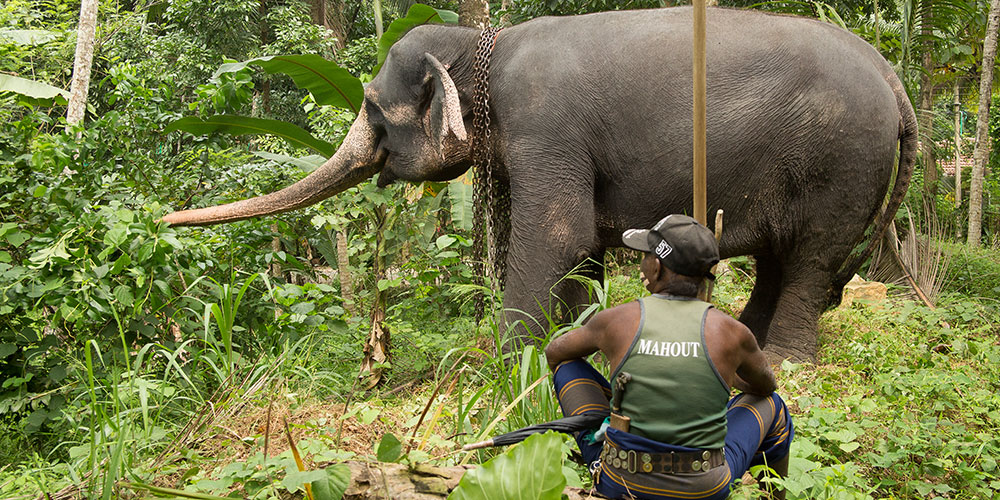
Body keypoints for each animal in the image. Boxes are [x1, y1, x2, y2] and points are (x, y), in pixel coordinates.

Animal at [161, 6, 917, 361]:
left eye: (373, 110)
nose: (165, 221)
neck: (482, 45)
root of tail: (894, 80)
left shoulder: (544, 122)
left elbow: (560, 232)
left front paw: (502, 359)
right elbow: (581, 247)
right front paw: (576, 332)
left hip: (846, 161)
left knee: (811, 257)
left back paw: (786, 359)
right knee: (782, 257)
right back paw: (748, 338)